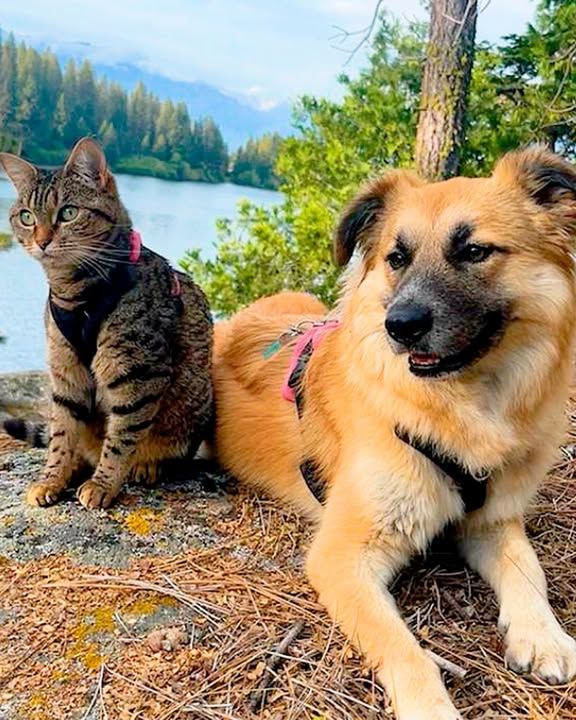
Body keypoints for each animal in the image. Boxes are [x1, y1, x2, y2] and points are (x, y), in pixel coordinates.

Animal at [0, 135, 214, 506]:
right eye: (26, 217)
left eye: (68, 213)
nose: (42, 241)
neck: (75, 294)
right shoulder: (65, 374)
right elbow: (61, 435)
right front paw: (53, 477)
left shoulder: (136, 374)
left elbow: (120, 440)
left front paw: (102, 485)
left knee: (169, 452)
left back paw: (147, 465)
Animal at [212, 148, 576, 720]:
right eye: (396, 258)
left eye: (475, 251)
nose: (400, 326)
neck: (459, 409)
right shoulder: (342, 557)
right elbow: (403, 647)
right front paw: (431, 706)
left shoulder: (493, 522)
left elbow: (528, 572)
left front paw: (543, 636)